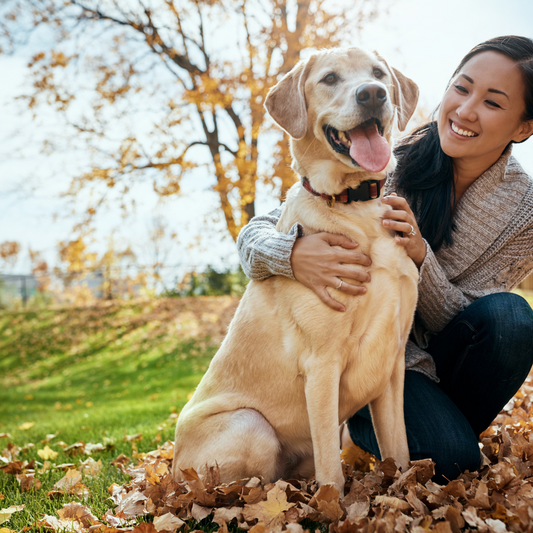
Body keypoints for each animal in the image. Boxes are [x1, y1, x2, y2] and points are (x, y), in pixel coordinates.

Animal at [172, 47, 418, 492]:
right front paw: (334, 503)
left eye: (378, 74)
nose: (372, 94)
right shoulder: (322, 364)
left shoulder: (391, 365)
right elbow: (331, 471)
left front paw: (409, 490)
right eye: (330, 79)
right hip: (251, 426)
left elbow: (400, 450)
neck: (357, 205)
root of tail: (169, 469)